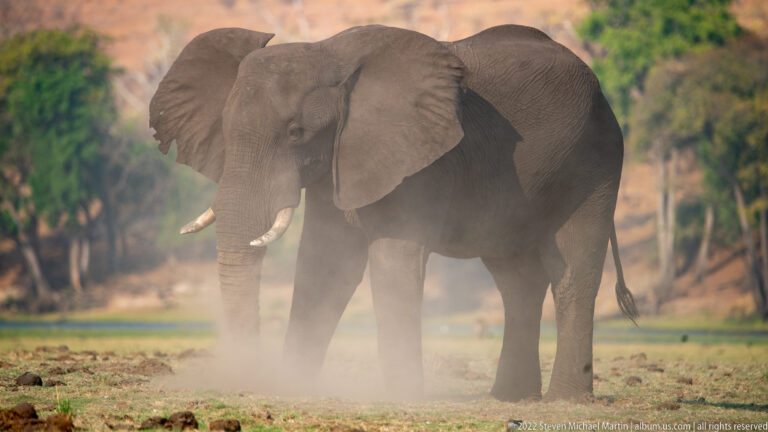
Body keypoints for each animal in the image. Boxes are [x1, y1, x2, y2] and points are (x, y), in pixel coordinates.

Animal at [149, 24, 638, 402]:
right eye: (225, 128)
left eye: (295, 133)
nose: (248, 378)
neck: (327, 54)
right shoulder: (339, 163)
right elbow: (326, 263)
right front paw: (293, 385)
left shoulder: (414, 157)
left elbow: (391, 258)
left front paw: (402, 395)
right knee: (516, 279)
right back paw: (511, 398)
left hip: (595, 161)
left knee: (572, 272)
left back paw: (564, 399)